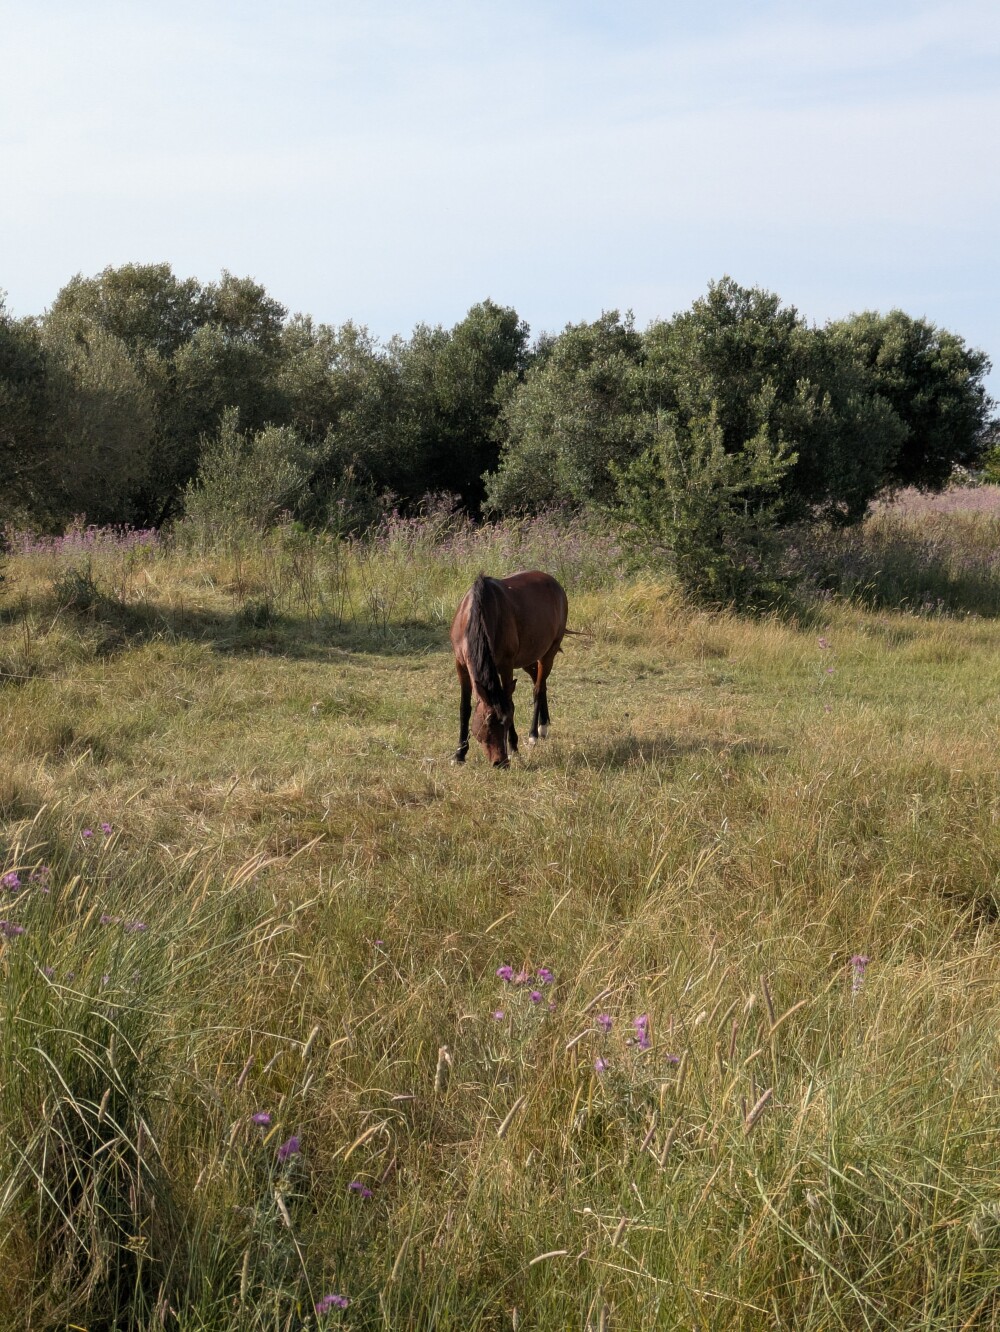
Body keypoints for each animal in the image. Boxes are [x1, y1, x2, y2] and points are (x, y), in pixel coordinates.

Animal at [450, 570, 569, 768]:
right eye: (487, 723)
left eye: (505, 724)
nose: (500, 763)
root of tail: (555, 583)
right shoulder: (461, 664)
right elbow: (464, 708)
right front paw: (459, 754)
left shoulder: (506, 666)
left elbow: (510, 702)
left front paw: (514, 749)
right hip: (527, 658)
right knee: (539, 682)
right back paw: (543, 725)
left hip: (548, 653)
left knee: (538, 688)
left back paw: (534, 734)